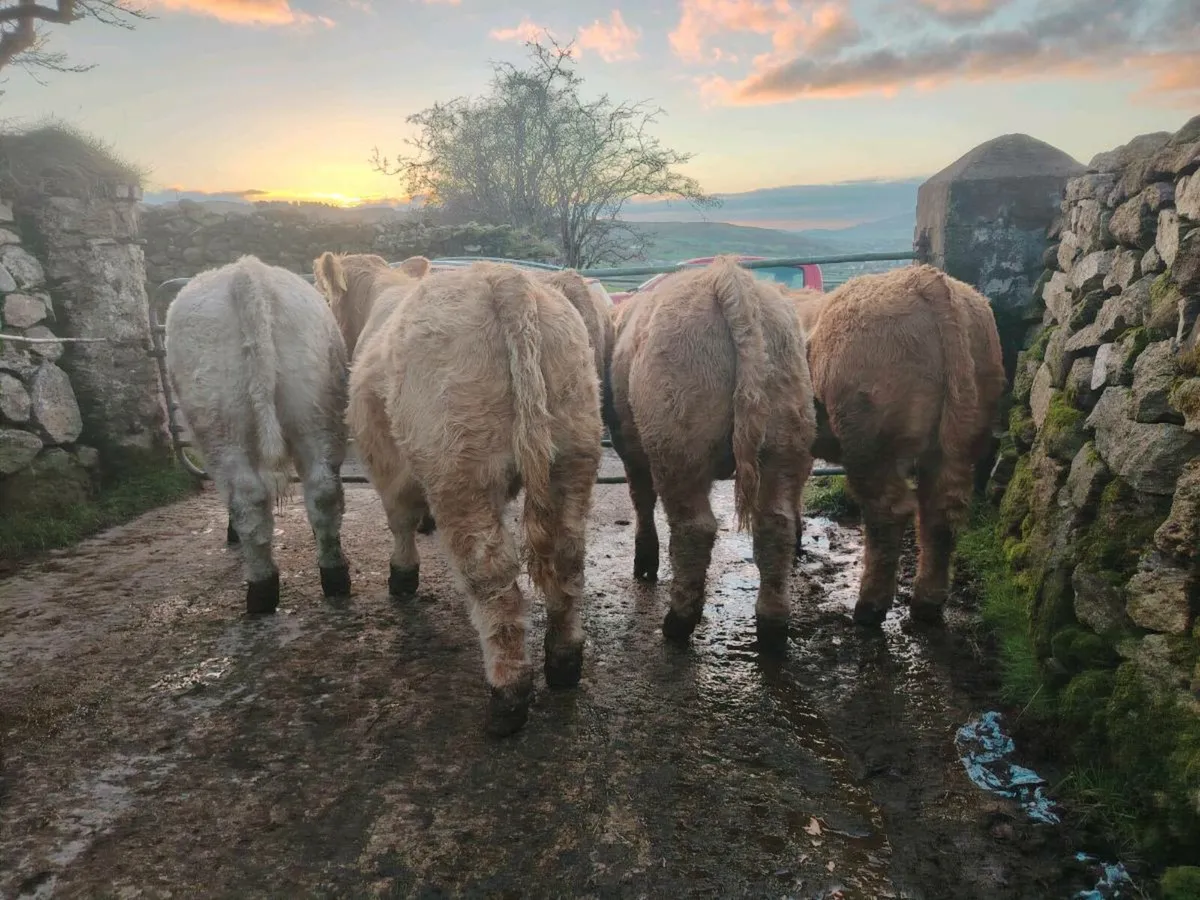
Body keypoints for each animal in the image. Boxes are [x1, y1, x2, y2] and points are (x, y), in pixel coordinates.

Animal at [165, 254, 351, 614]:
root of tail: (247, 273)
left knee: (246, 497)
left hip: (220, 424)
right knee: (323, 487)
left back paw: (261, 588)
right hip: (314, 407)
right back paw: (335, 574)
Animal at [313, 253, 603, 736]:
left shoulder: (385, 461)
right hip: (572, 455)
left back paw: (508, 698)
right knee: (567, 558)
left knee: (492, 579)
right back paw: (563, 662)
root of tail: (503, 278)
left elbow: (399, 518)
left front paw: (402, 576)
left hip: (460, 470)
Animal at [604, 256, 817, 653]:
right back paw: (772, 627)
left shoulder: (629, 444)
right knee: (775, 525)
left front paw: (645, 562)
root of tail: (727, 277)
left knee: (694, 528)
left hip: (678, 443)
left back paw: (678, 622)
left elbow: (640, 498)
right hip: (786, 439)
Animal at [789, 264, 1007, 627]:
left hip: (867, 439)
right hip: (960, 432)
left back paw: (869, 608)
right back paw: (926, 604)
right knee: (940, 512)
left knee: (888, 513)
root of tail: (925, 278)